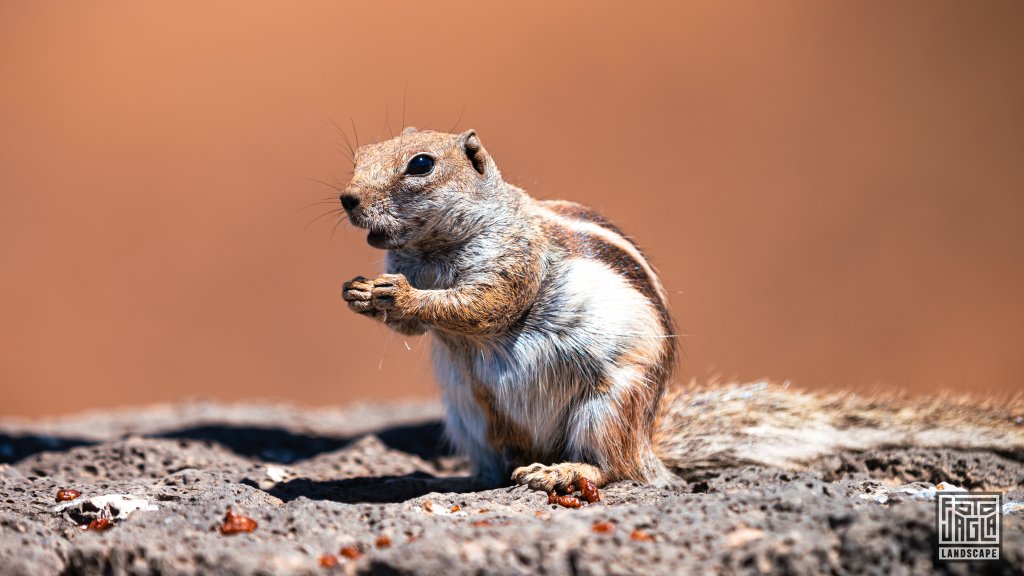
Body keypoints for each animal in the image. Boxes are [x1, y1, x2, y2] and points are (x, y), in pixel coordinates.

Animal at [337, 126, 1024, 487]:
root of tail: (651, 442)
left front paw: (403, 297)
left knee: (616, 472)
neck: (433, 252)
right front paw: (363, 295)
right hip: (471, 418)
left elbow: (484, 306)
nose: (347, 199)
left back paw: (566, 474)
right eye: (358, 156)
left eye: (421, 164)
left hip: (607, 409)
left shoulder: (514, 260)